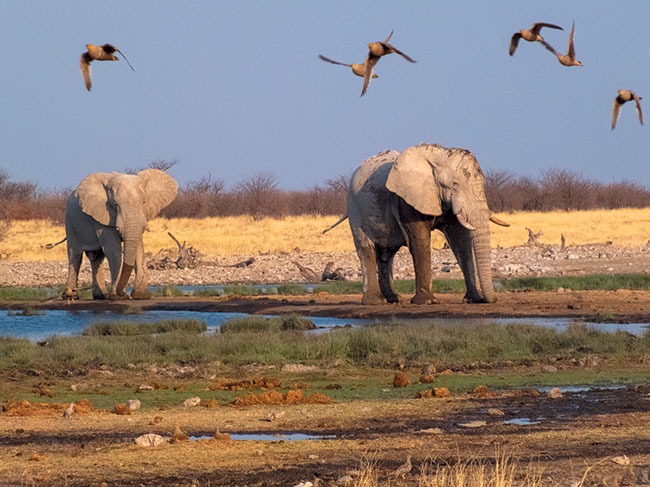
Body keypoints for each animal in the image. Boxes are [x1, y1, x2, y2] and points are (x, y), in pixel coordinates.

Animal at [63, 171, 177, 302]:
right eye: (114, 204)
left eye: (144, 202)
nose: (123, 293)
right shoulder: (102, 215)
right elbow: (113, 249)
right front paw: (118, 296)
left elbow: (138, 248)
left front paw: (141, 296)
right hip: (70, 222)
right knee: (75, 256)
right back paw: (71, 296)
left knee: (96, 257)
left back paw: (101, 296)